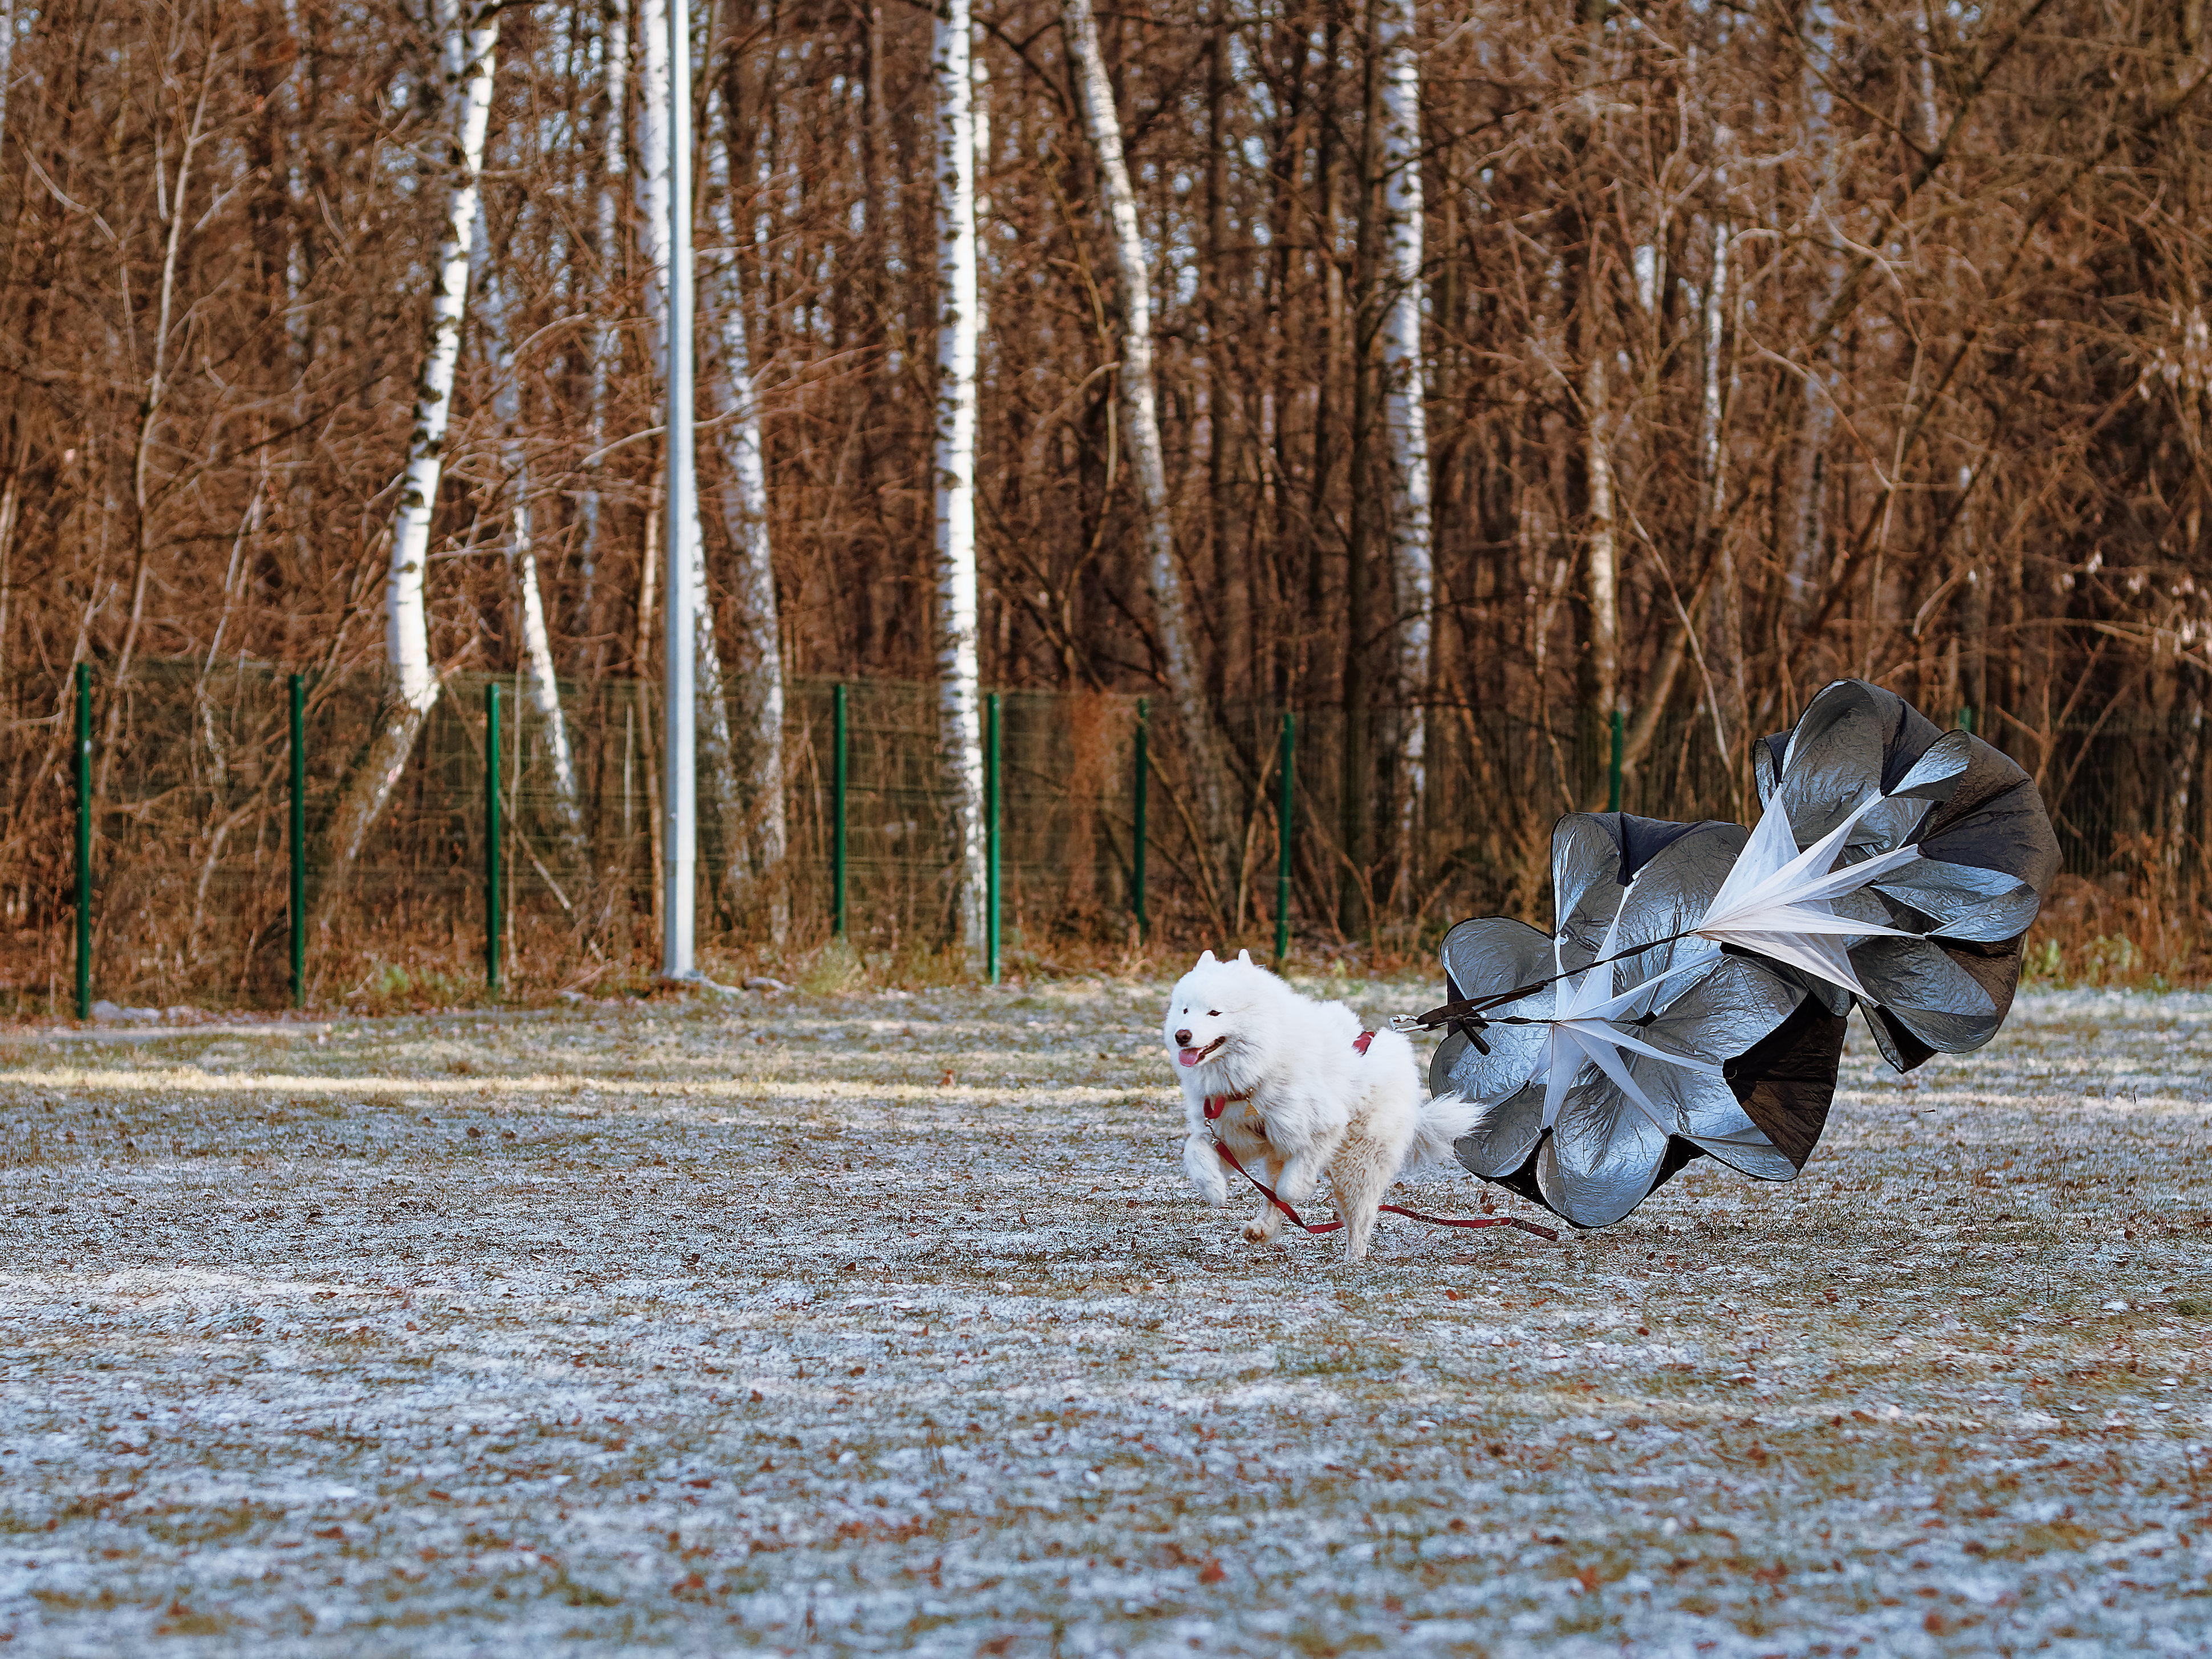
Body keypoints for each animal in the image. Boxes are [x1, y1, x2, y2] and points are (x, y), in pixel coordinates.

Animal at [1168, 946, 1477, 1256]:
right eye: (1185, 1010)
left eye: (1215, 1012)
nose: (1181, 1036)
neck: (1256, 1072)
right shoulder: (1229, 1135)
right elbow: (1195, 1150)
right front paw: (1215, 1190)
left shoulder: (1321, 1129)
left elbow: (1288, 1187)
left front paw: (1300, 1189)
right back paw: (1263, 1228)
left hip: (1357, 1164)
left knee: (1359, 1218)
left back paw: (1353, 1260)